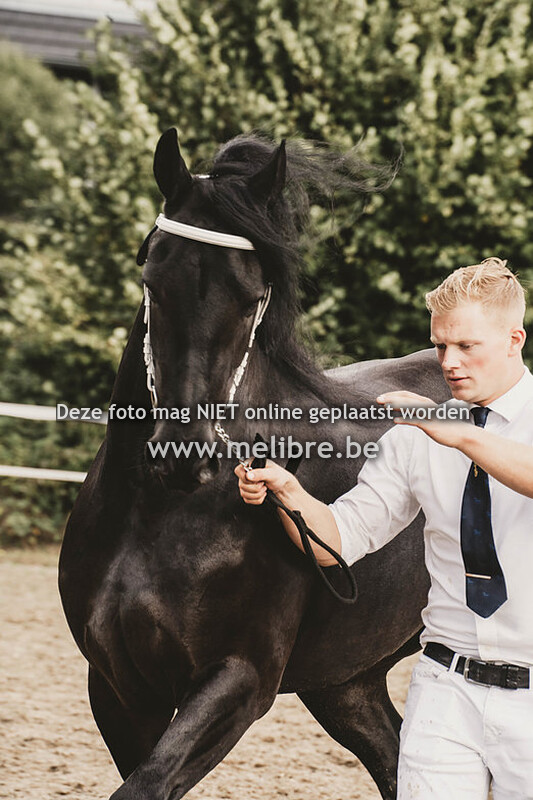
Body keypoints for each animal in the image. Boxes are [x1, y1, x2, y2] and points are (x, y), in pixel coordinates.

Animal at [59, 128, 449, 800]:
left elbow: (146, 784)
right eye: (153, 278)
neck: (161, 519)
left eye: (251, 298)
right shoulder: (118, 688)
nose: (186, 455)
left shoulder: (240, 679)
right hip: (347, 685)